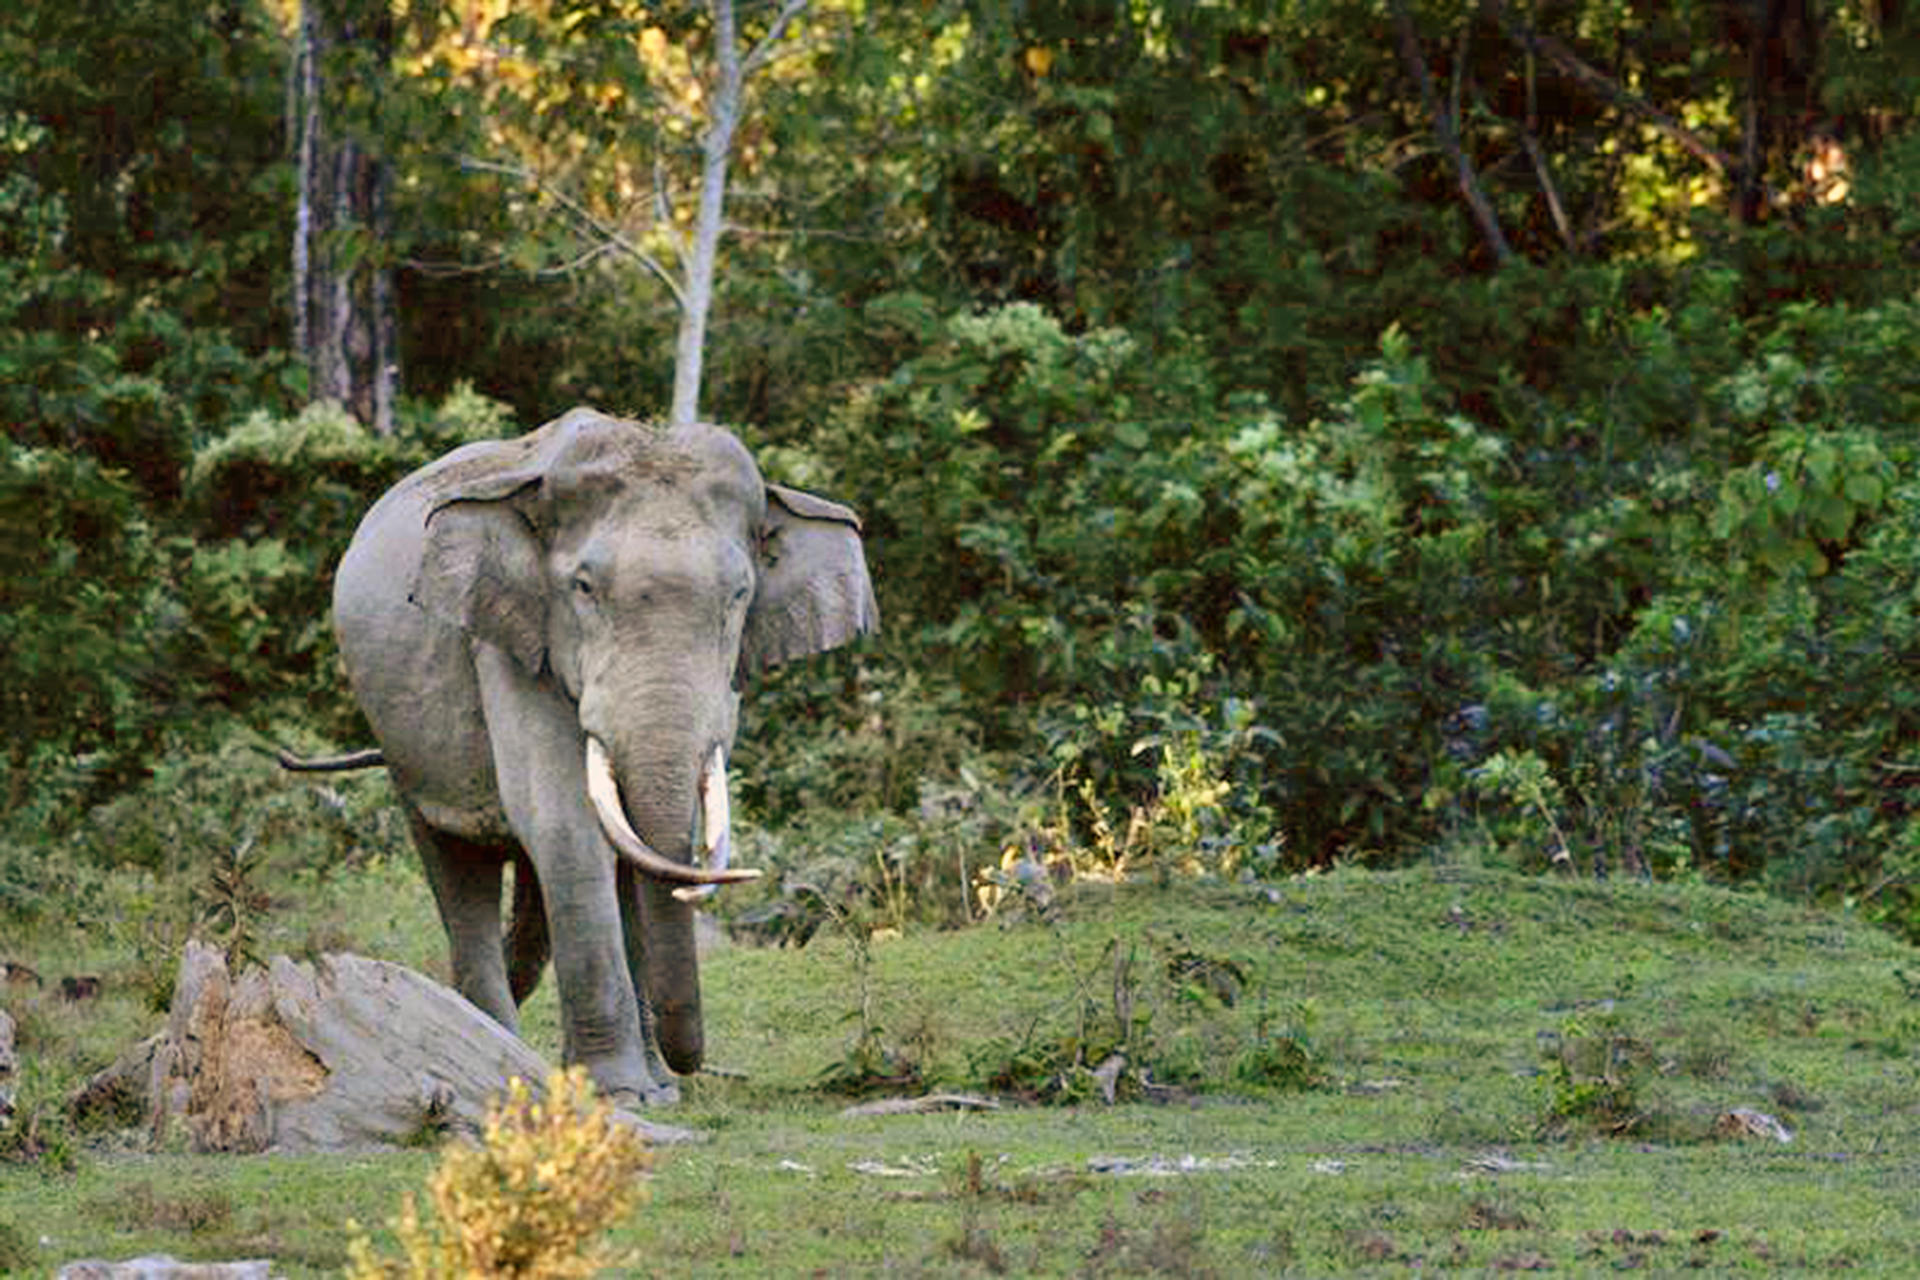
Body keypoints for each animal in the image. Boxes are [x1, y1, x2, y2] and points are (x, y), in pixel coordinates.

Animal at [324, 407, 877, 1106]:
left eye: (739, 595)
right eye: (583, 588)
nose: (688, 1066)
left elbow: (641, 842)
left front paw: (650, 1094)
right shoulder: (511, 638)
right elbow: (566, 827)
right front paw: (619, 1094)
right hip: (403, 743)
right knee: (457, 863)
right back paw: (501, 1059)